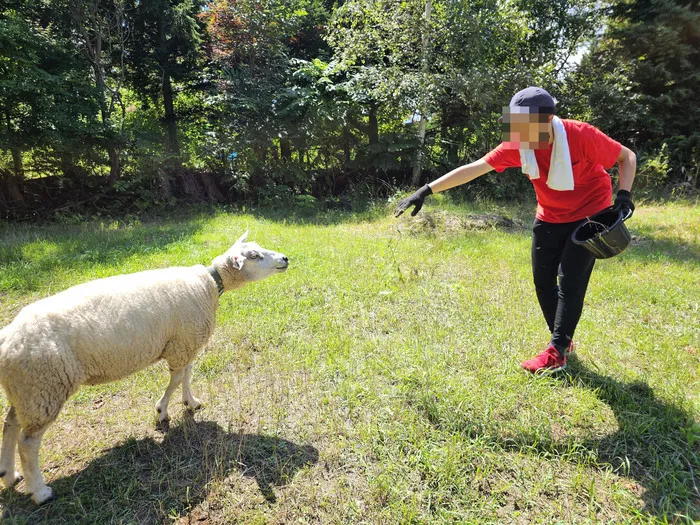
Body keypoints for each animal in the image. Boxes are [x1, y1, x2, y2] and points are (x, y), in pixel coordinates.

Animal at [0, 231, 288, 502]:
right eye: (254, 255)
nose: (285, 258)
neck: (209, 284)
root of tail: (7, 340)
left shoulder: (185, 341)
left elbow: (187, 374)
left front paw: (190, 402)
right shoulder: (181, 344)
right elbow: (177, 378)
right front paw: (162, 411)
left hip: (26, 389)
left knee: (10, 423)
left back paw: (9, 474)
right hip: (44, 386)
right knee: (27, 442)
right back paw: (40, 491)